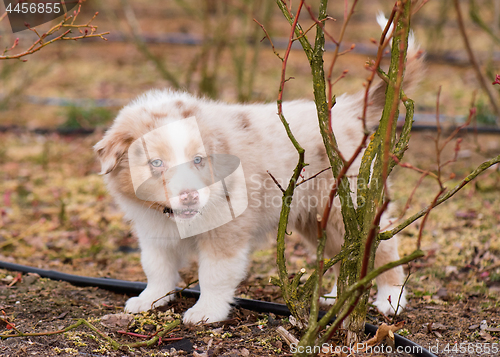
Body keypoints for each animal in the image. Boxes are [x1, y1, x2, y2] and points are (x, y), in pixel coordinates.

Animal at [94, 32, 422, 322]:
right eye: (156, 163)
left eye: (198, 160)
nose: (189, 196)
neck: (173, 216)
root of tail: (349, 113)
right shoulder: (153, 230)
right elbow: (157, 267)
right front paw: (150, 299)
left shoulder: (226, 231)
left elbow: (214, 275)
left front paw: (206, 313)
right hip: (317, 218)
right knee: (346, 253)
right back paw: (334, 296)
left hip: (345, 205)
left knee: (383, 247)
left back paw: (390, 299)